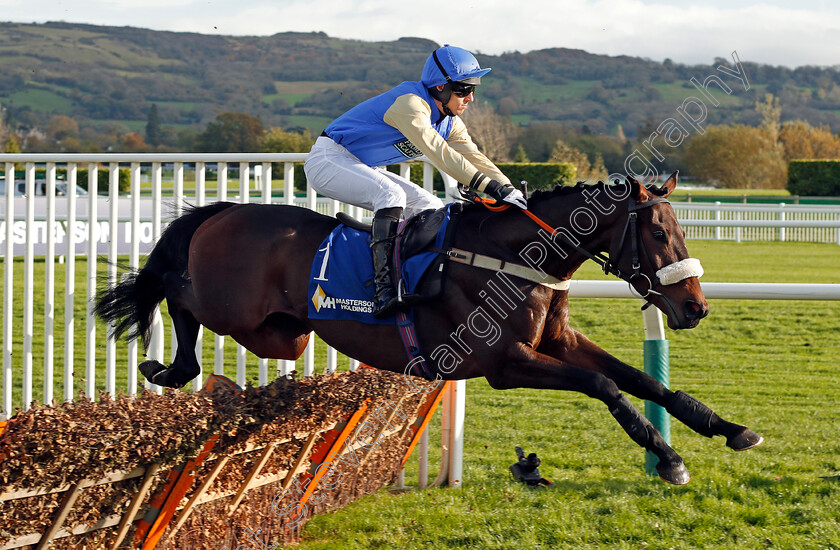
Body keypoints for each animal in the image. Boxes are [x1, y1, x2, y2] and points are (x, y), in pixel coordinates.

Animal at [95, 175, 764, 486]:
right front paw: (670, 459)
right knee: (170, 286)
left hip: (282, 333)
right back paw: (171, 365)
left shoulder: (557, 343)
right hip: (231, 307)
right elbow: (606, 387)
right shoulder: (505, 363)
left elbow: (644, 385)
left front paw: (728, 430)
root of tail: (226, 208)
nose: (695, 307)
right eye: (657, 232)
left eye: (679, 229)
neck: (516, 258)